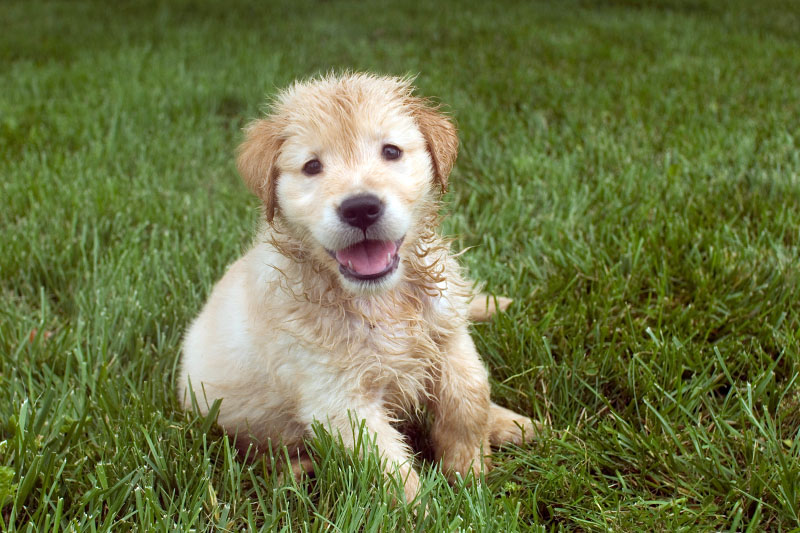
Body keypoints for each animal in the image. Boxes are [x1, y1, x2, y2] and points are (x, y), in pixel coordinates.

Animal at [178, 72, 536, 500]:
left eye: (391, 151)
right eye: (312, 166)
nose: (361, 208)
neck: (380, 299)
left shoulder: (450, 337)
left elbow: (468, 397)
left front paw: (470, 472)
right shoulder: (338, 398)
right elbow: (390, 467)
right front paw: (428, 508)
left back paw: (511, 424)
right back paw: (295, 472)